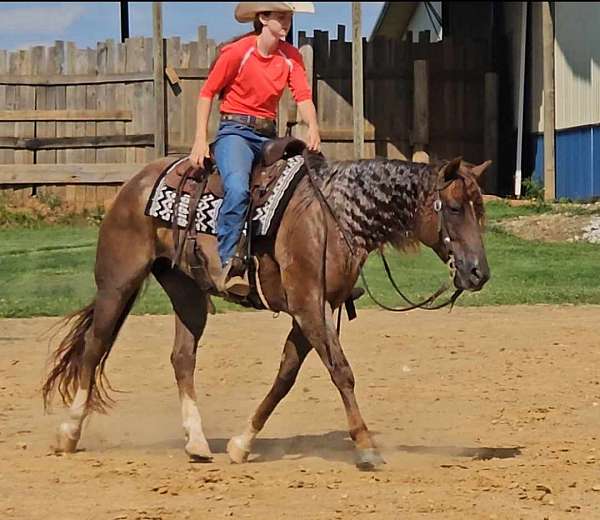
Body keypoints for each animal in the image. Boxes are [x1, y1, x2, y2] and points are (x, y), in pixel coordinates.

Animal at [43, 144, 492, 470]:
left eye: (481, 210)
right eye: (455, 208)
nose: (479, 272)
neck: (332, 217)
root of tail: (134, 183)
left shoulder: (312, 310)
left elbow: (285, 376)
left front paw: (241, 444)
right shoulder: (309, 306)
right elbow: (342, 372)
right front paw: (366, 447)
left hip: (187, 292)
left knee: (182, 358)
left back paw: (197, 443)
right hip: (117, 283)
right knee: (95, 347)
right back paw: (68, 434)